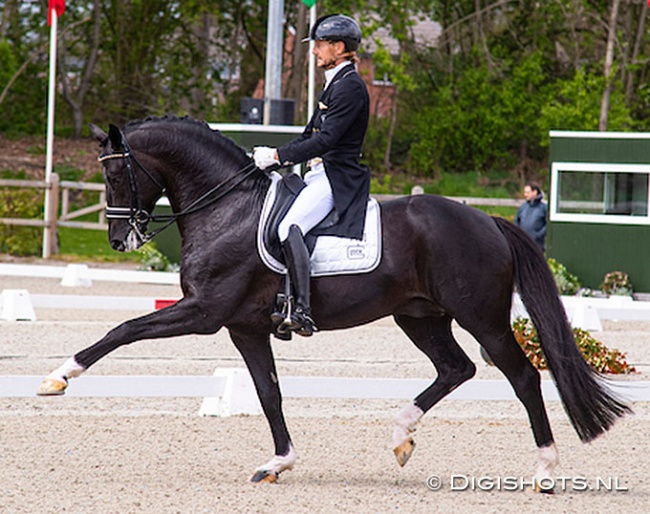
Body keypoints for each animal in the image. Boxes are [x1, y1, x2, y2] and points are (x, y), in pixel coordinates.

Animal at [38, 115, 624, 484]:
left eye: (116, 172)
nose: (120, 240)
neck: (227, 208)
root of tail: (487, 220)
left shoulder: (204, 313)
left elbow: (123, 330)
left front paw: (59, 377)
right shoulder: (243, 327)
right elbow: (269, 393)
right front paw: (279, 463)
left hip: (482, 317)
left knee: (522, 376)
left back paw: (544, 471)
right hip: (420, 317)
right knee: (456, 369)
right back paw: (401, 436)